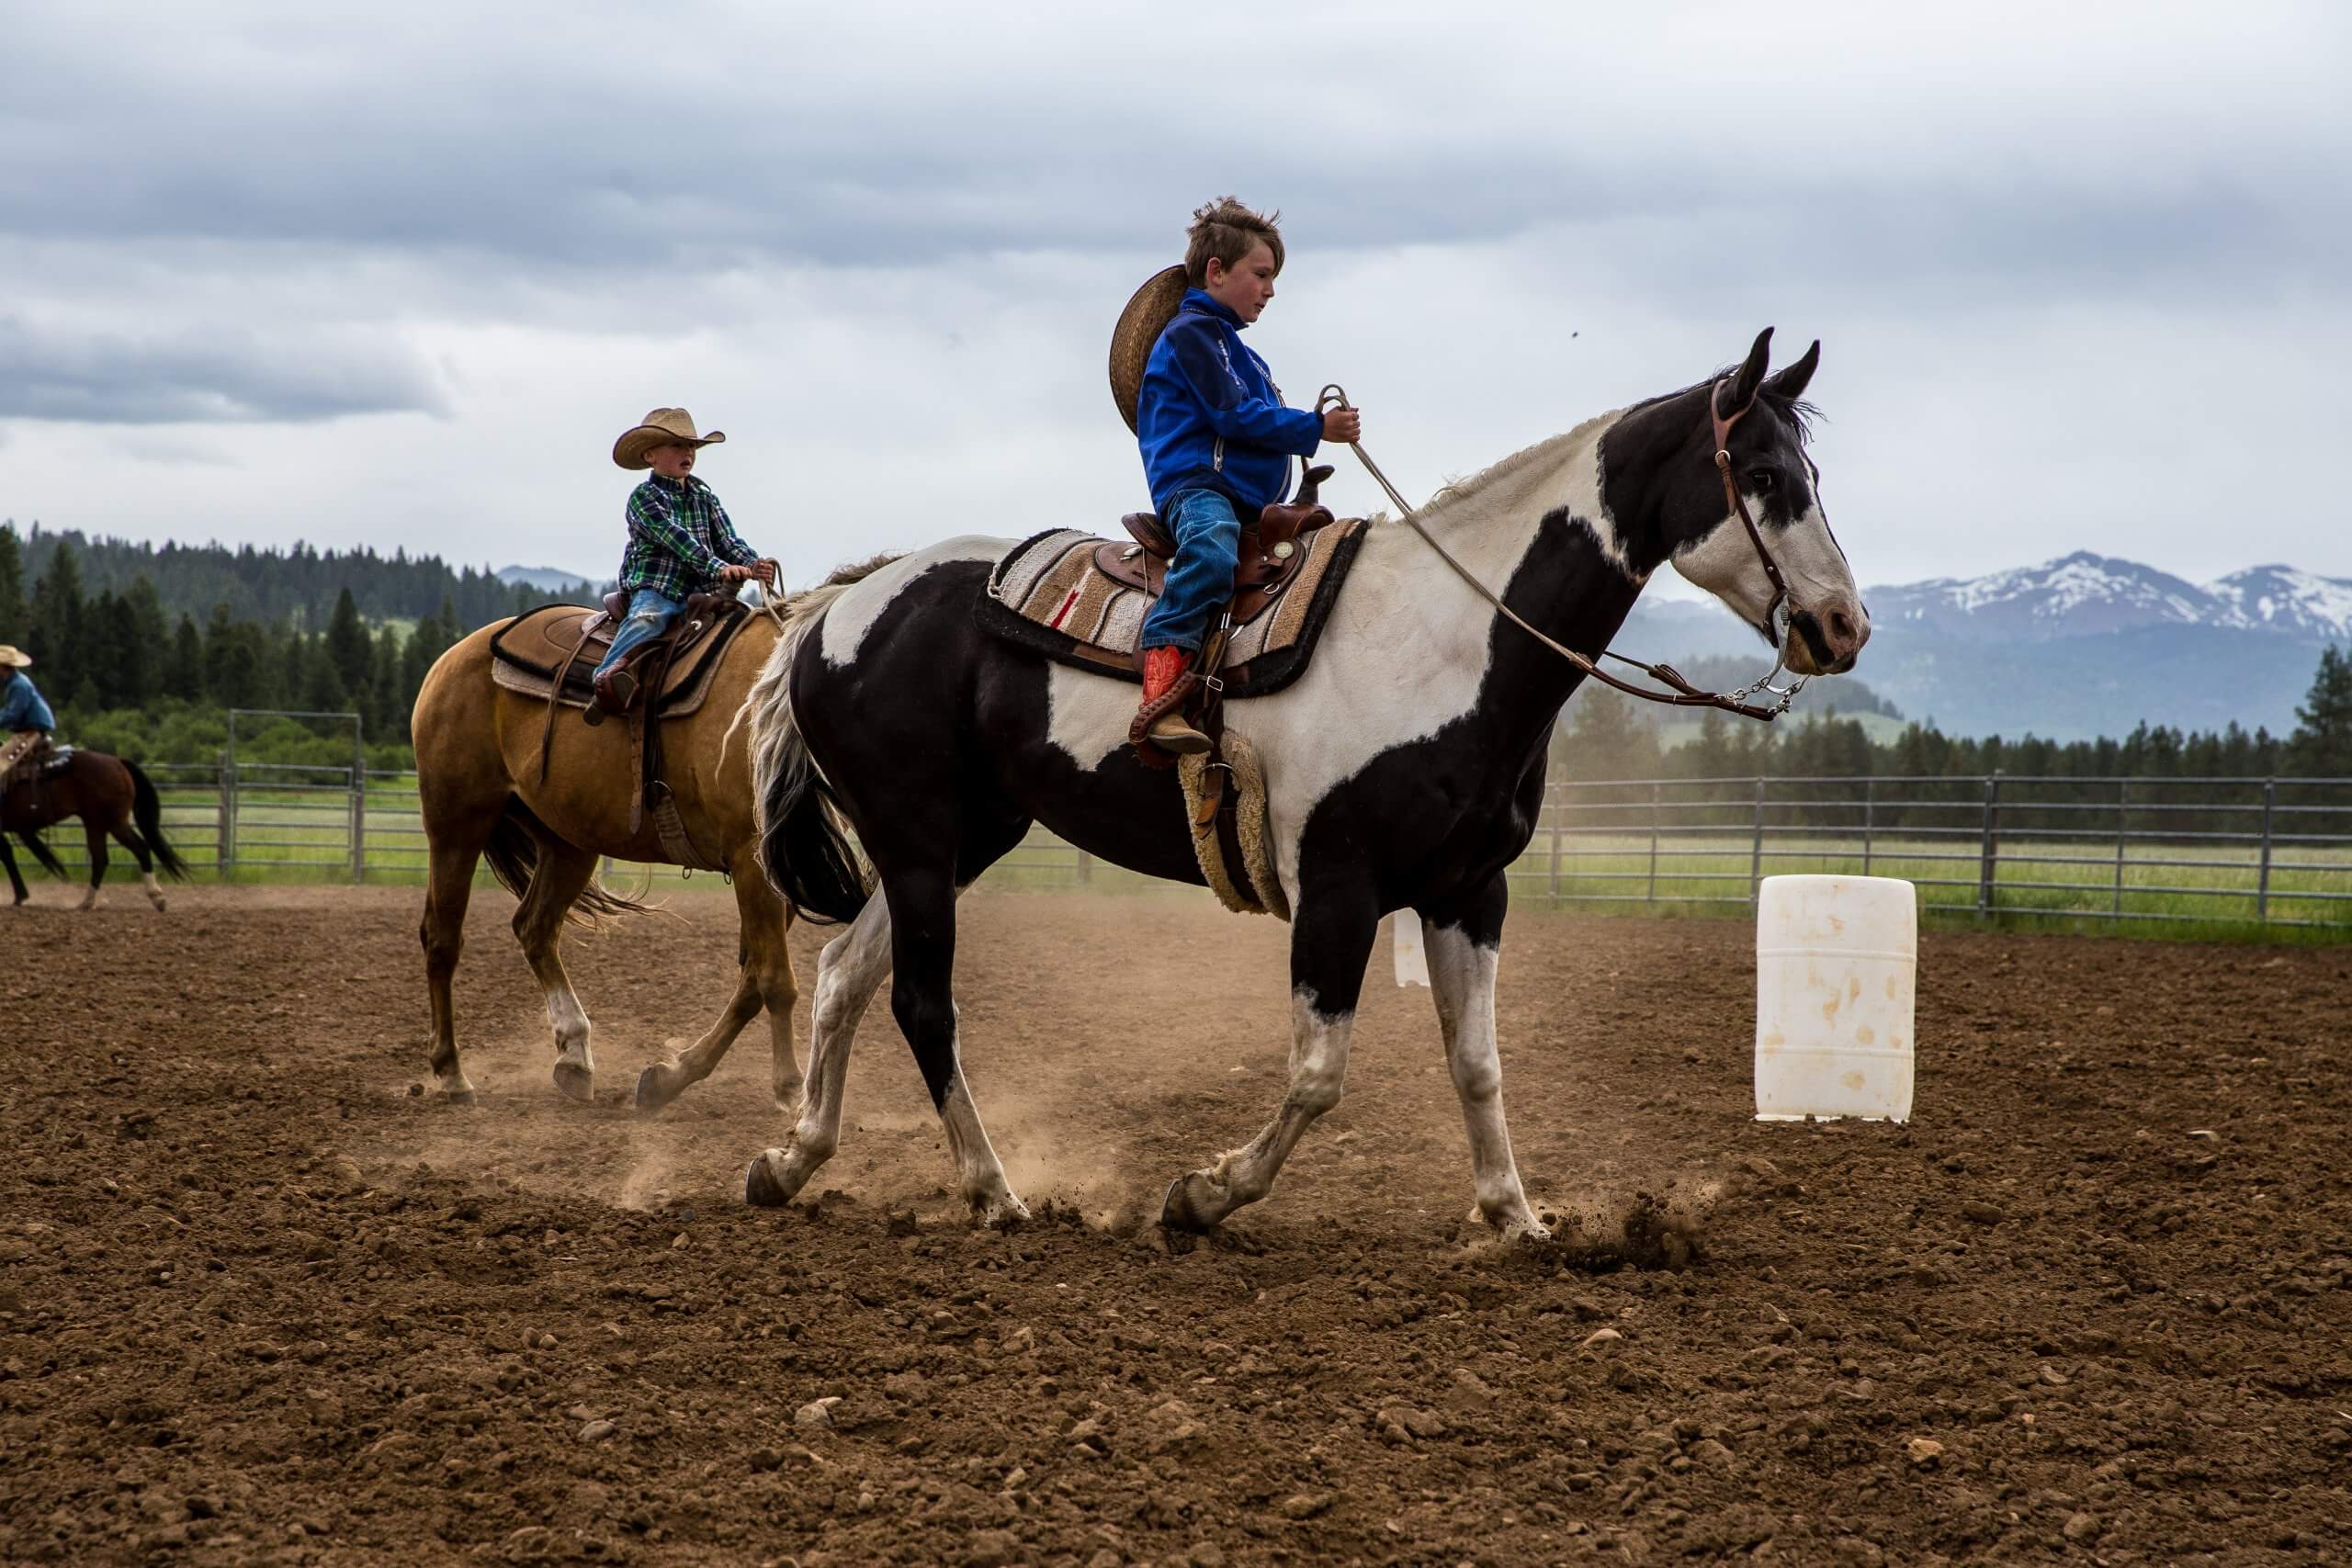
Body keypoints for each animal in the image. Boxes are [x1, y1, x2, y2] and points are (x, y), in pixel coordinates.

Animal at [0, 747, 189, 907]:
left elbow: (6, 854)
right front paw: (20, 895)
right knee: (104, 858)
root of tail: (117, 761)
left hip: (108, 823)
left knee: (132, 850)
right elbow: (7, 853)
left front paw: (20, 896)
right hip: (101, 824)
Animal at [733, 329, 1871, 1241]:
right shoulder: (1338, 887)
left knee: (843, 973)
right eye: (1762, 471)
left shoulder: (1470, 892)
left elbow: (1477, 1062)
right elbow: (1319, 1074)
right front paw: (1203, 1195)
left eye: (1812, 470)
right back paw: (994, 1192)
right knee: (922, 1002)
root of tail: (840, 607)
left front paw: (1515, 1216)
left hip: (962, 837)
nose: (1841, 625)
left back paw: (791, 1162)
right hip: (921, 838)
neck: (1448, 639)